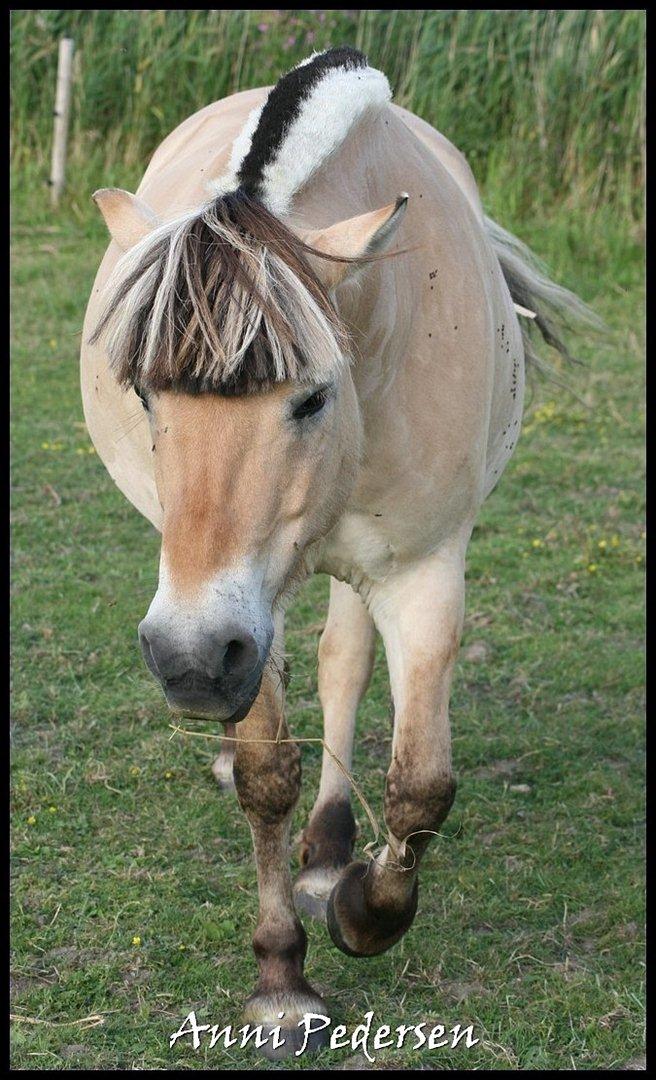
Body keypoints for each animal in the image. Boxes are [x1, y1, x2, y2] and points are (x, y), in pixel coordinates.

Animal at [79, 48, 592, 1054]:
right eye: (145, 393)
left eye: (313, 396)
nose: (188, 662)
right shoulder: (234, 602)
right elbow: (268, 772)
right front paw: (282, 981)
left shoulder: (421, 571)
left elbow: (422, 785)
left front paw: (362, 909)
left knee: (345, 662)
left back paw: (328, 852)